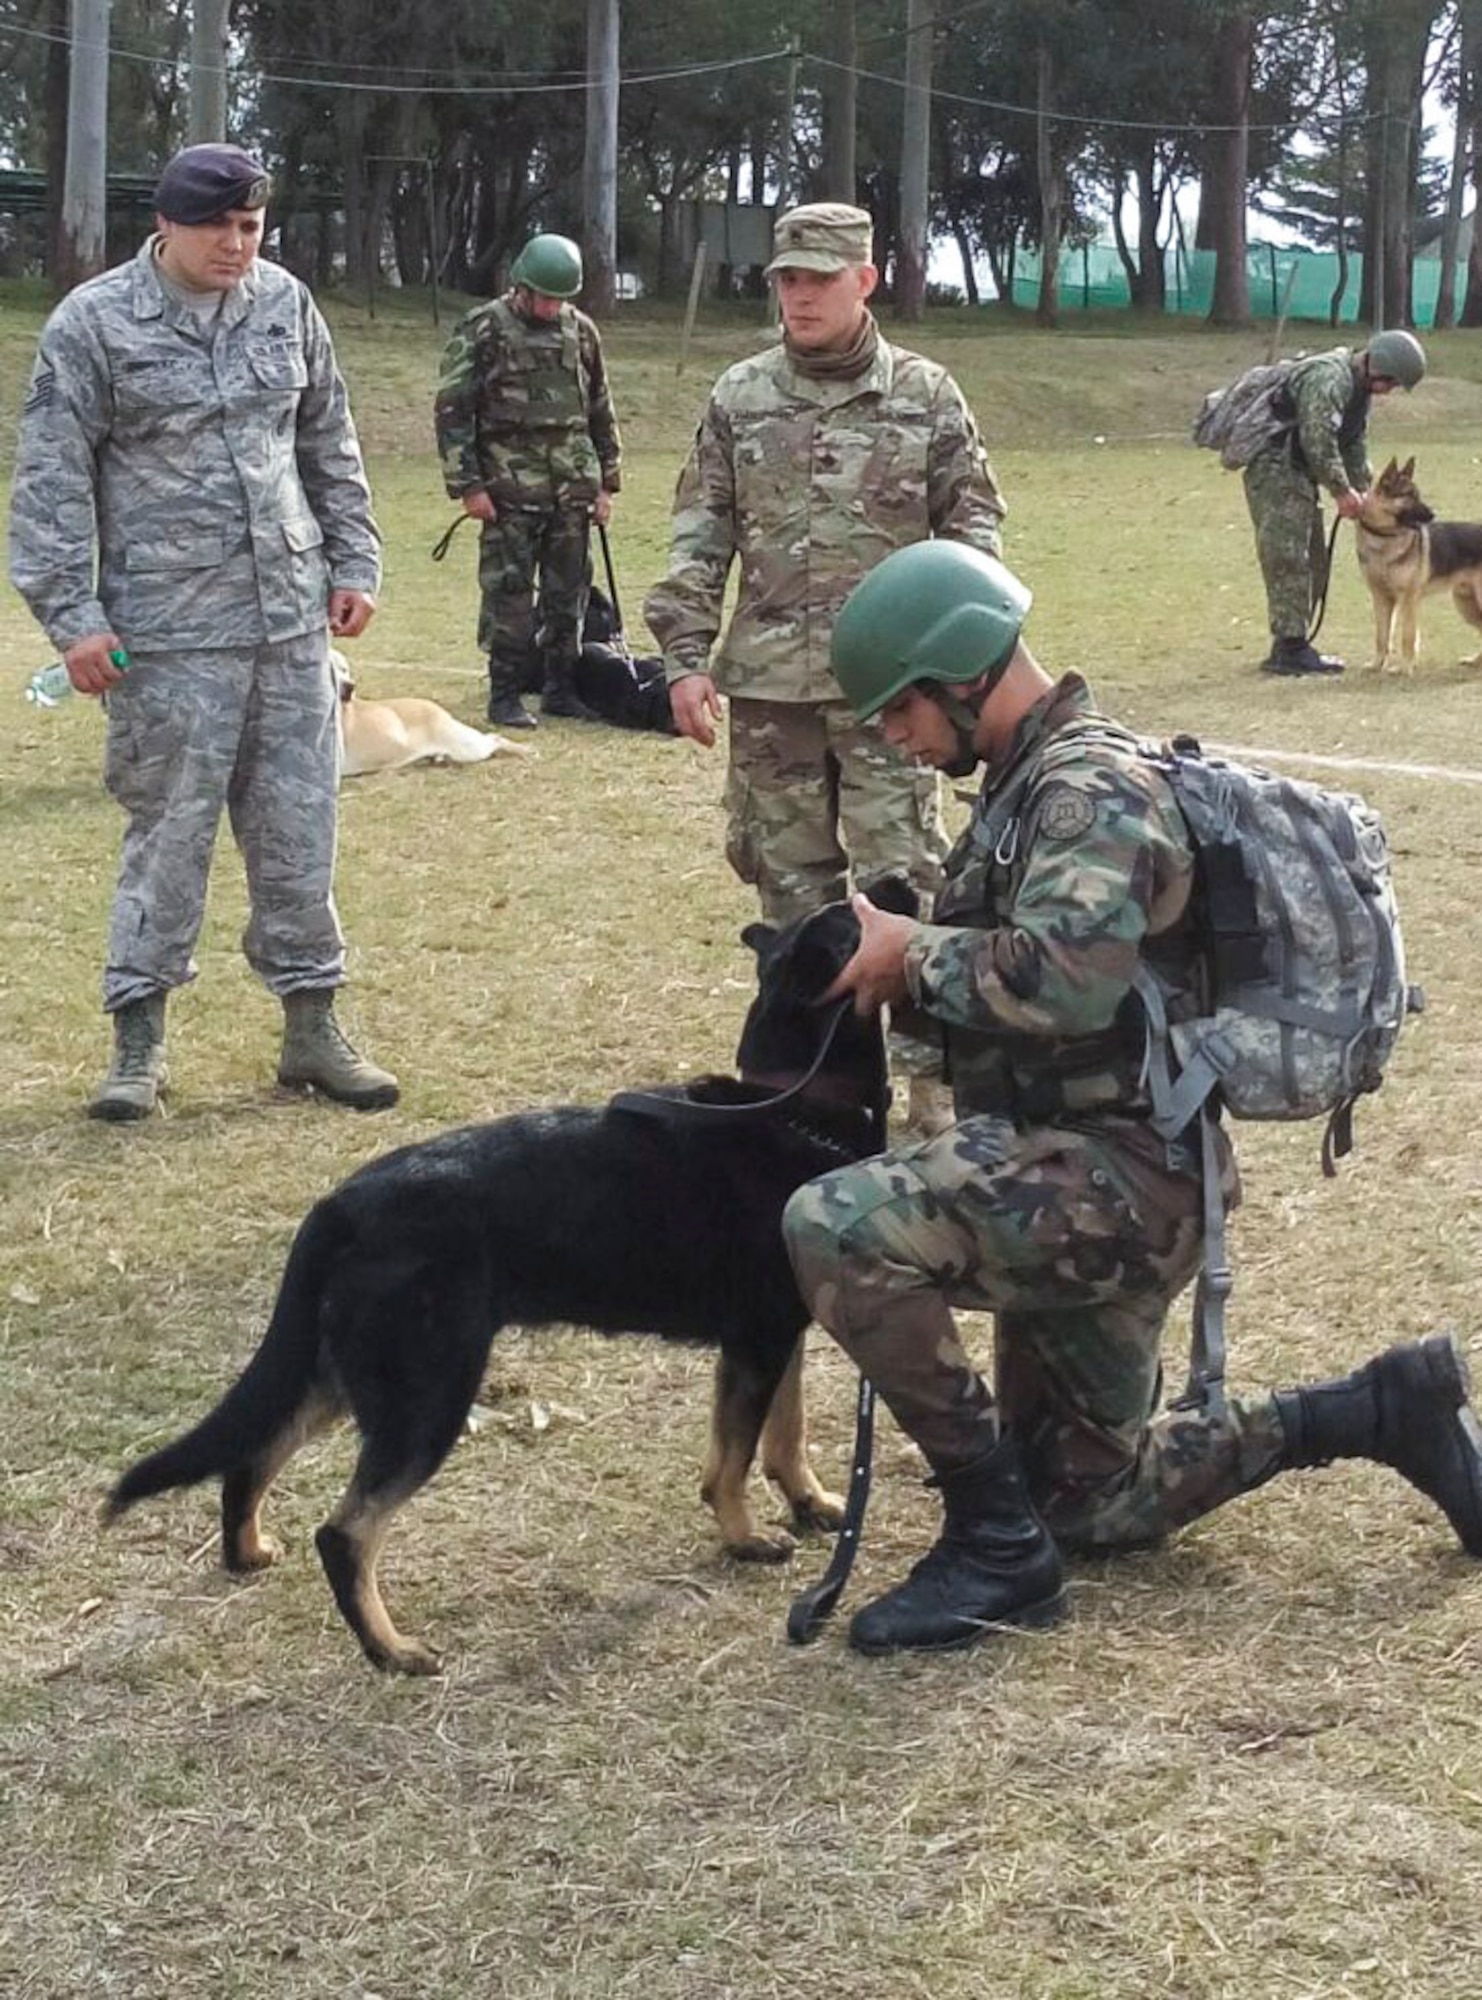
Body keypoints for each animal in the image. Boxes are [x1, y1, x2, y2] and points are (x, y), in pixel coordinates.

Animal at [104, 888, 908, 1672]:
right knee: (345, 1531)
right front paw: (745, 1538)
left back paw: (247, 1554)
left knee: (252, 1456)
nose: (892, 887)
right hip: (427, 1393)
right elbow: (732, 1460)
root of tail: (339, 1206)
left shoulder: (777, 1337)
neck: (796, 1102)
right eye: (850, 917)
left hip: (347, 1373)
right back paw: (392, 1651)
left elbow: (785, 1435)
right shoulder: (755, 1342)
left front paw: (812, 1504)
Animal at [330, 656, 532, 780]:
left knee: (494, 738)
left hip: (466, 747)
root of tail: (436, 707)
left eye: (344, 669)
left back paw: (526, 751)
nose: (349, 686)